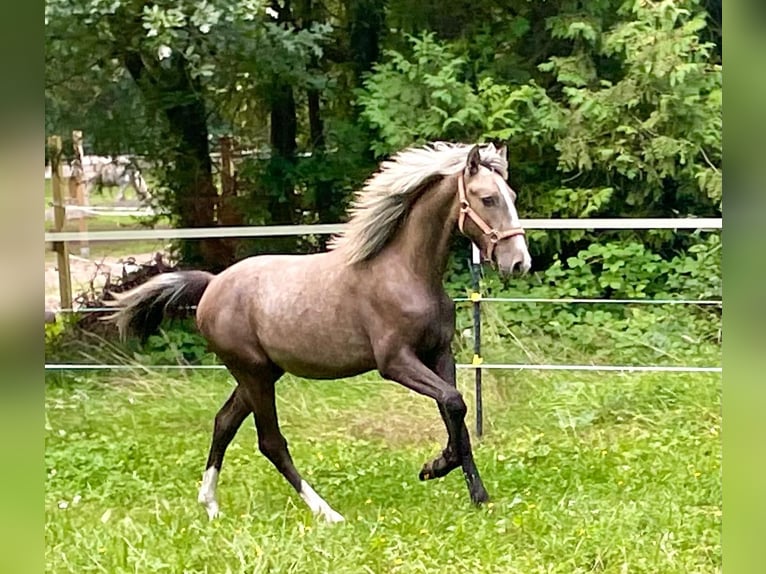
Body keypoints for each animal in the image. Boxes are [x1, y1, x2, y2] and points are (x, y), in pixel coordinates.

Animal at [105, 142, 532, 524]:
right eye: (487, 199)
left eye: (511, 195)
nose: (519, 263)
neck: (404, 272)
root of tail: (211, 285)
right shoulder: (395, 362)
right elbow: (454, 402)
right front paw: (440, 468)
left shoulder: (440, 354)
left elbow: (453, 409)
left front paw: (464, 485)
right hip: (254, 374)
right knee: (270, 442)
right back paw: (327, 512)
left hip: (259, 374)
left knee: (224, 422)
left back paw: (210, 505)